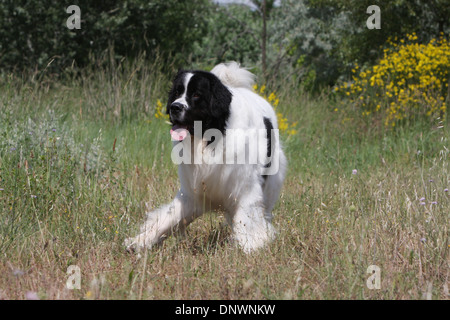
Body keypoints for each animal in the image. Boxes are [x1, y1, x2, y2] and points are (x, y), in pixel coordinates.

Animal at [124, 62, 284, 252]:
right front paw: (141, 241)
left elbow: (246, 220)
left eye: (196, 95)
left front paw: (250, 248)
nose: (174, 107)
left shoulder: (246, 189)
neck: (210, 140)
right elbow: (169, 218)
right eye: (177, 93)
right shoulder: (192, 193)